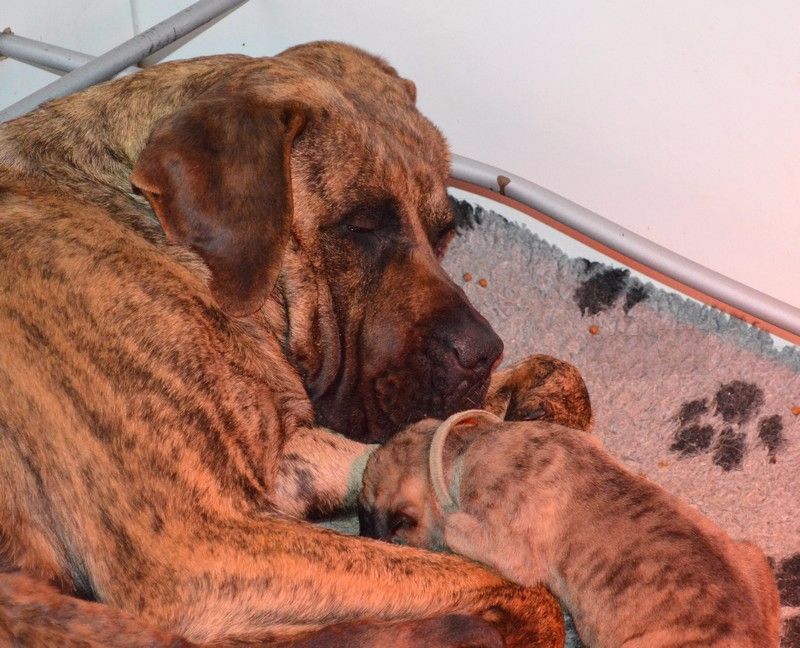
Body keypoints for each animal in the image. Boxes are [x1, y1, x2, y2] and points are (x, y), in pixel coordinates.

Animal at [0, 43, 568, 644]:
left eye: (443, 232)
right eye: (361, 227)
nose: (483, 352)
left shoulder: (280, 467)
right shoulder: (198, 546)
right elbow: (514, 587)